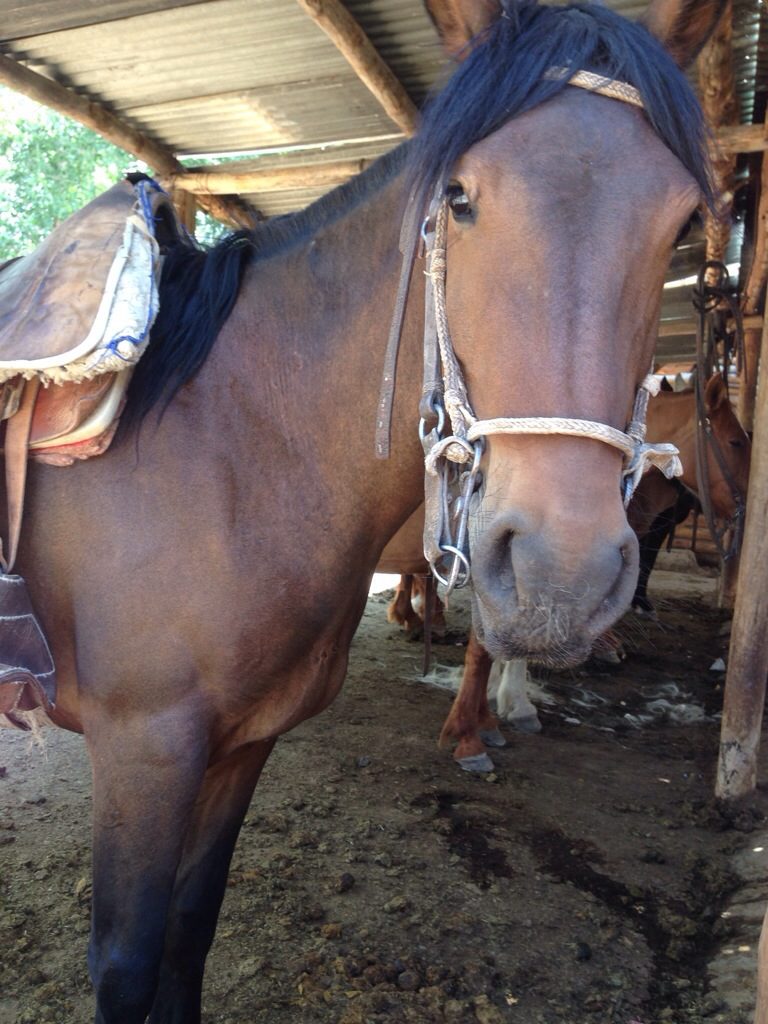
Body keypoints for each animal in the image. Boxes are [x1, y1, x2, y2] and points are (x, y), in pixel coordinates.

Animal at [5, 0, 723, 1019]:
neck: (231, 453)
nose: (563, 575)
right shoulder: (143, 752)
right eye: (459, 196)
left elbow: (188, 938)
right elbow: (130, 962)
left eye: (682, 219)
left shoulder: (241, 748)